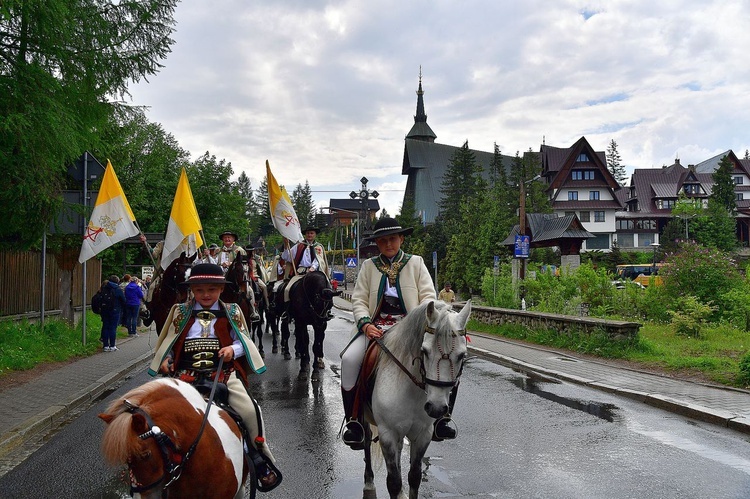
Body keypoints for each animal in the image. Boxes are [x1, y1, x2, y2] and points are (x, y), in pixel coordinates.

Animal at [362, 298, 470, 498]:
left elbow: (414, 477)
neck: (410, 390)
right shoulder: (387, 434)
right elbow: (394, 482)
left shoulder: (422, 435)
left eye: (462, 355)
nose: (436, 408)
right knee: (365, 440)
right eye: (424, 351)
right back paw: (369, 482)